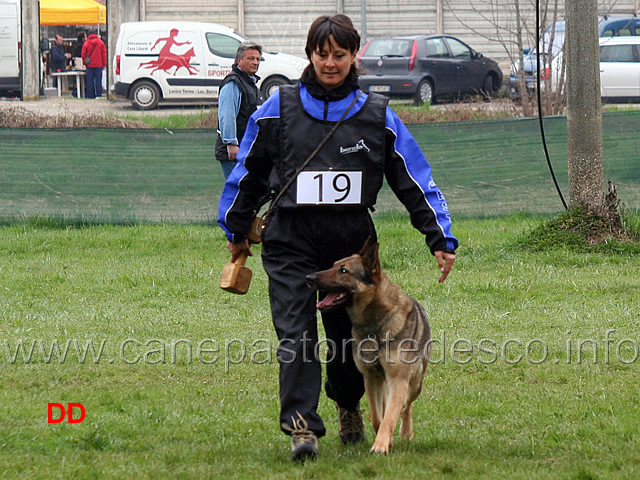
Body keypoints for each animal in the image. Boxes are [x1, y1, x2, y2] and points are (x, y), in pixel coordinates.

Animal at [304, 238, 430, 456]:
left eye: (343, 271)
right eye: (333, 265)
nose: (308, 277)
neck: (375, 324)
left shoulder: (398, 380)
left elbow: (390, 415)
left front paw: (381, 445)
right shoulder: (371, 378)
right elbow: (379, 418)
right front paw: (384, 440)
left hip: (414, 383)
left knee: (407, 406)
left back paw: (406, 432)